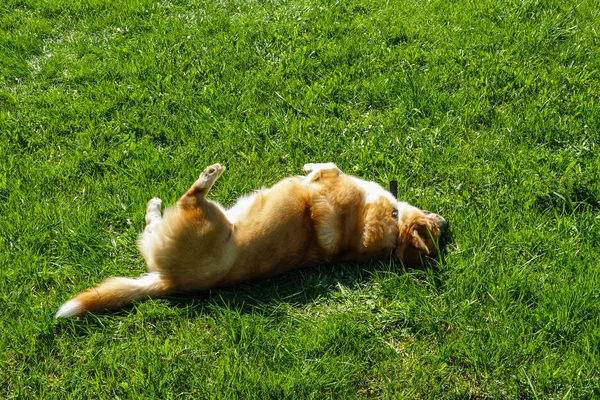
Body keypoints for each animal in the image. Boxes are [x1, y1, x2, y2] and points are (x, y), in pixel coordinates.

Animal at [56, 162, 448, 318]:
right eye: (435, 225)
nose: (447, 223)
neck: (390, 225)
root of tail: (170, 282)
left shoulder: (332, 180)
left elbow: (328, 168)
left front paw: (308, 169)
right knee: (153, 224)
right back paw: (158, 204)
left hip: (206, 216)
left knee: (189, 198)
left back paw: (207, 176)